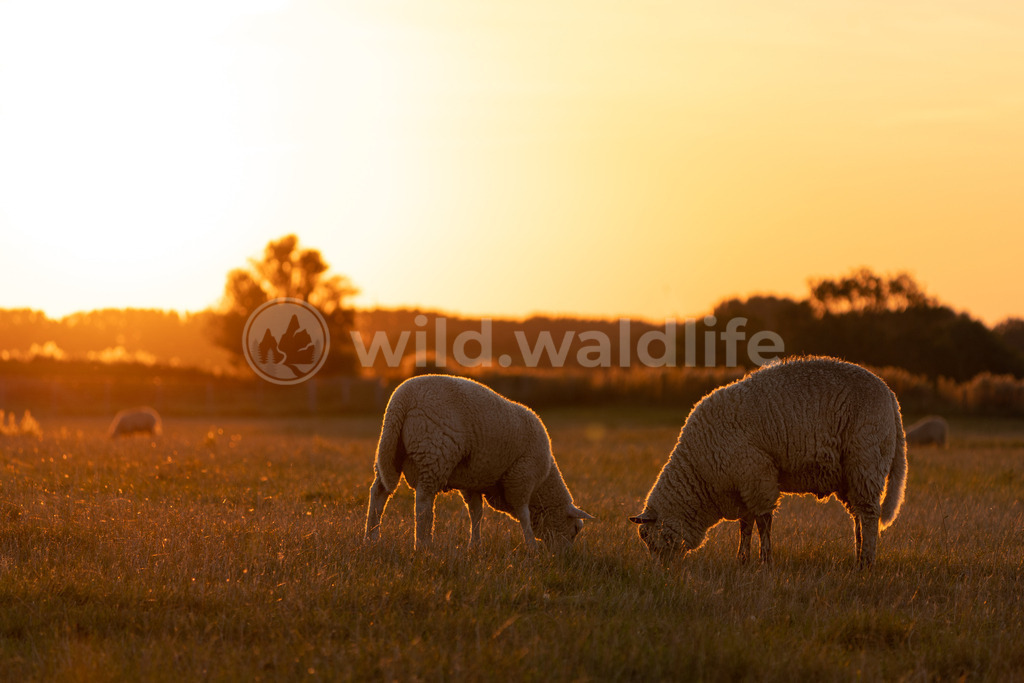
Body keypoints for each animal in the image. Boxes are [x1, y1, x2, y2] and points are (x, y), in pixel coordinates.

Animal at [364, 374, 593, 552]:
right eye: (575, 530)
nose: (564, 556)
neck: (543, 484)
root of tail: (402, 399)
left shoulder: (472, 480)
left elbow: (476, 513)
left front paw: (475, 545)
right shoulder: (520, 478)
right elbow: (524, 514)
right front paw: (531, 546)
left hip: (389, 451)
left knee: (379, 493)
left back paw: (371, 538)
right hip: (434, 453)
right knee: (423, 503)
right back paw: (423, 545)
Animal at [629, 356, 908, 568]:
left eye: (649, 538)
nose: (662, 570)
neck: (698, 475)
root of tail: (890, 395)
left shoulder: (757, 477)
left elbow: (763, 524)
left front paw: (766, 562)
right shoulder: (742, 486)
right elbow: (745, 525)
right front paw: (742, 560)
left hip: (866, 460)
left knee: (869, 515)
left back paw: (866, 563)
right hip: (851, 474)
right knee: (859, 516)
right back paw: (858, 555)